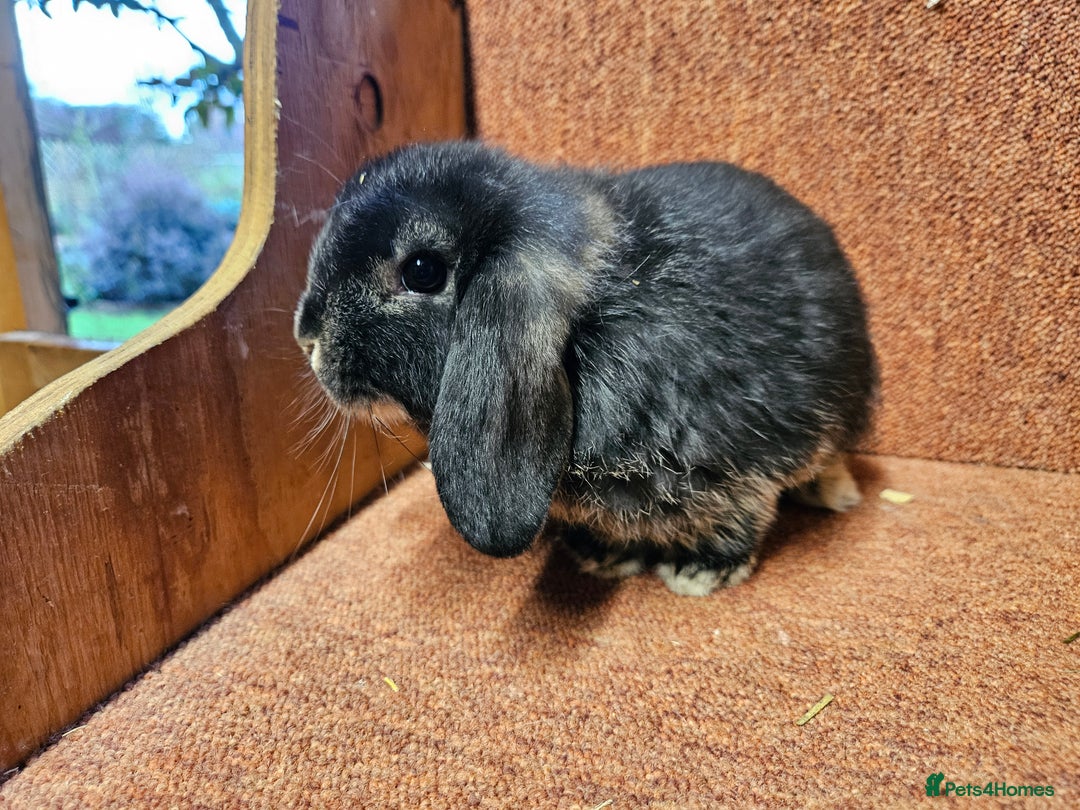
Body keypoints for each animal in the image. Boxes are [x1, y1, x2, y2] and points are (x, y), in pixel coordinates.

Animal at [294, 141, 877, 596]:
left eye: (421, 271)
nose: (307, 337)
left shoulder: (733, 469)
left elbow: (738, 518)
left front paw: (699, 571)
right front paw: (600, 556)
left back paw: (836, 495)